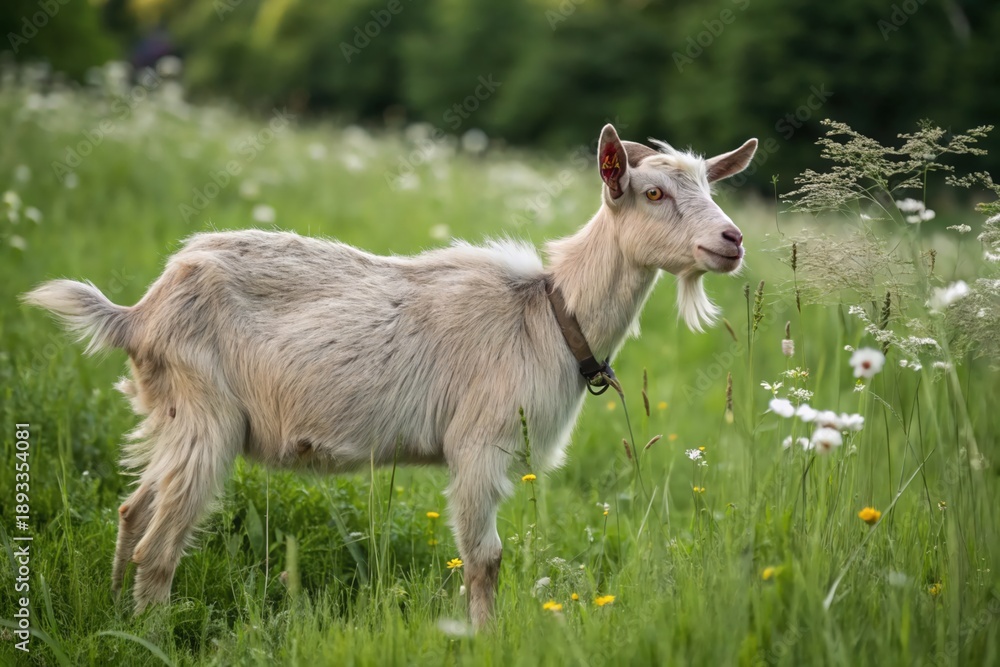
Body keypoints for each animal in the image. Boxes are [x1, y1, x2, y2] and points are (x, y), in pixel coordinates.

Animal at [23, 124, 756, 627]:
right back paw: (150, 632)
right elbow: (486, 559)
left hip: (172, 417)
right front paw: (486, 638)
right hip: (206, 417)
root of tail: (140, 312)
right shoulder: (479, 445)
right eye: (653, 192)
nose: (732, 240)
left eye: (711, 187)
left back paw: (115, 614)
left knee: (132, 510)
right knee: (159, 545)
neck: (548, 314)